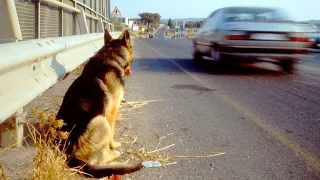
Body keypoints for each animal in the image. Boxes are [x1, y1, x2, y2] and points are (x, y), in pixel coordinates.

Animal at [55, 28, 143, 178]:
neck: (111, 56)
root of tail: (70, 155)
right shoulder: (112, 111)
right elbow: (113, 133)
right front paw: (114, 145)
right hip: (101, 120)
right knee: (100, 157)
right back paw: (114, 153)